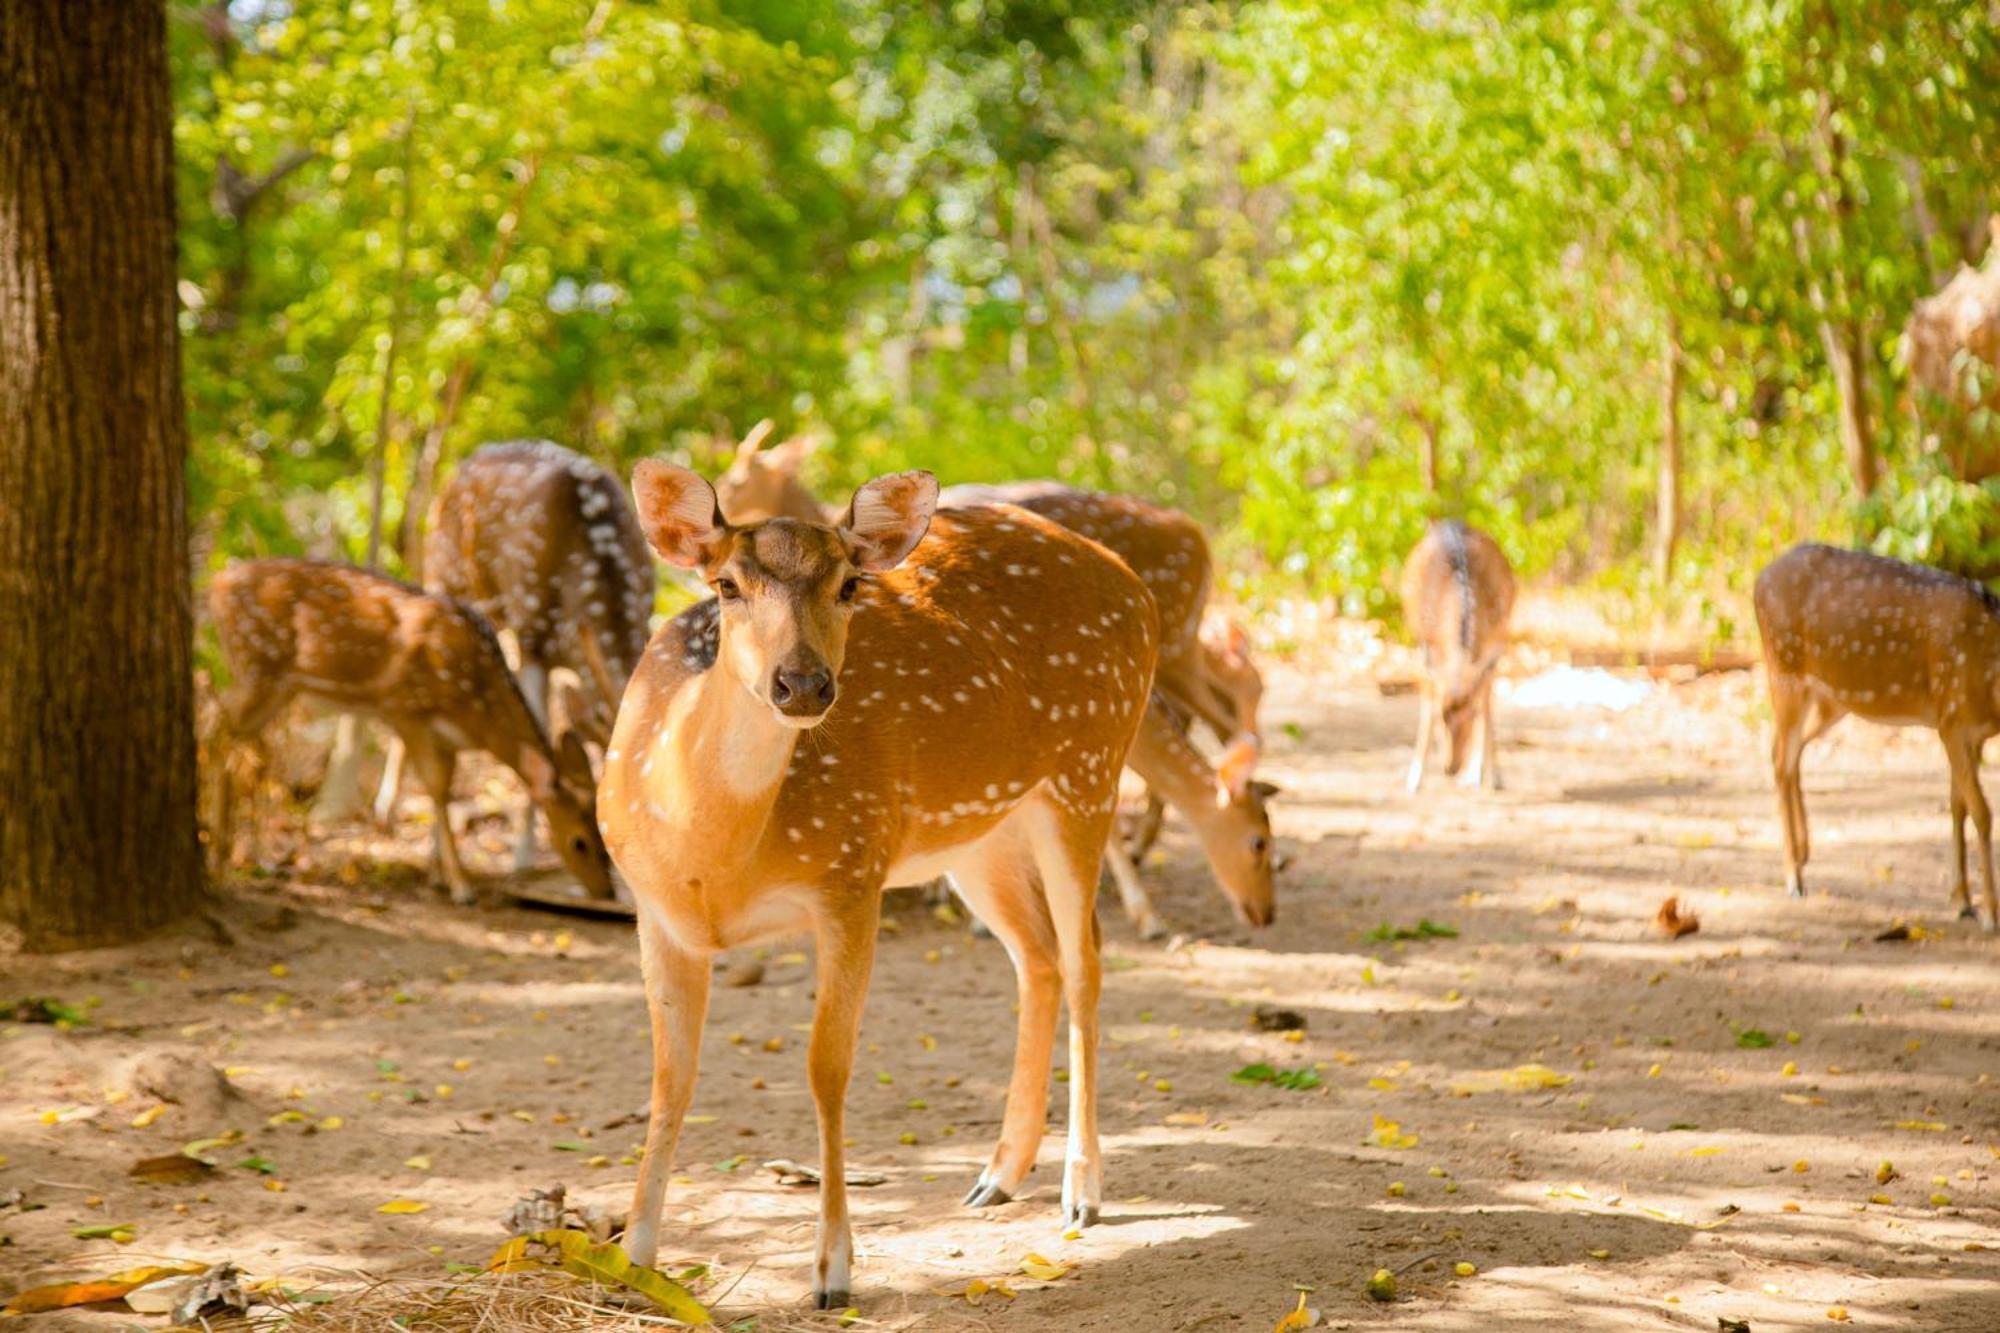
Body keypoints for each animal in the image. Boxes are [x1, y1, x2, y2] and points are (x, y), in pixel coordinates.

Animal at [208, 548, 616, 904]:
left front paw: (438, 875)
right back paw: (216, 853)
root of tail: (217, 584)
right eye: (580, 841)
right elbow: (434, 787)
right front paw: (461, 887)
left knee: (229, 735)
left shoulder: (449, 738)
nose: (606, 892)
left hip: (275, 685)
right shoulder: (405, 708)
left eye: (602, 838)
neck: (476, 703)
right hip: (257, 667)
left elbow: (445, 792)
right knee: (217, 729)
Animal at [596, 462, 1160, 1304]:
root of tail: (1134, 584)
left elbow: (826, 1069)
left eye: (850, 584)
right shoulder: (657, 912)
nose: (802, 684)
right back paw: (997, 1173)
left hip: (1089, 763)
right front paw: (633, 1259)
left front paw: (833, 1268)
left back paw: (1082, 1188)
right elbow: (670, 1080)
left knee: (1087, 957)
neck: (714, 860)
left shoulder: (851, 876)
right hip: (977, 832)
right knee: (1039, 957)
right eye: (726, 584)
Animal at [1408, 520, 1512, 788]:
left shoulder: (1493, 647)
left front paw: (1482, 777)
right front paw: (1414, 781)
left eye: (1471, 717)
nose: (1451, 768)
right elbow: (1426, 703)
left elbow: (1485, 704)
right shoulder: (1425, 648)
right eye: (1439, 718)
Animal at [1760, 536, 2000, 924]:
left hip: (1831, 699)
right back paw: (1793, 877)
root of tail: (1760, 578)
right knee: (1782, 758)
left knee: (1785, 750)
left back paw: (1804, 853)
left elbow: (1957, 805)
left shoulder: (1972, 733)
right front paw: (1989, 912)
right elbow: (1981, 811)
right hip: (1784, 670)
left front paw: (1961, 900)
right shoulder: (1952, 722)